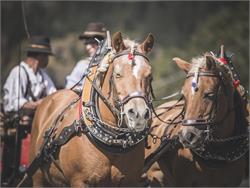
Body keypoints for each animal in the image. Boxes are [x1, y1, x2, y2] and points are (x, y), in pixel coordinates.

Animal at [29, 32, 154, 187]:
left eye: (149, 75)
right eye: (117, 74)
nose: (138, 114)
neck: (113, 144)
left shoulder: (130, 182)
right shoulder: (80, 181)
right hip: (38, 177)